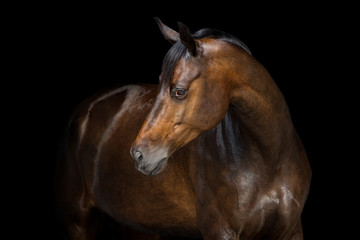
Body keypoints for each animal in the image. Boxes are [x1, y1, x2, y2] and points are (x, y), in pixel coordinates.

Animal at [55, 17, 312, 239]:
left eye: (179, 91)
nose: (139, 155)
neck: (269, 158)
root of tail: (86, 111)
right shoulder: (221, 231)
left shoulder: (291, 230)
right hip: (77, 222)